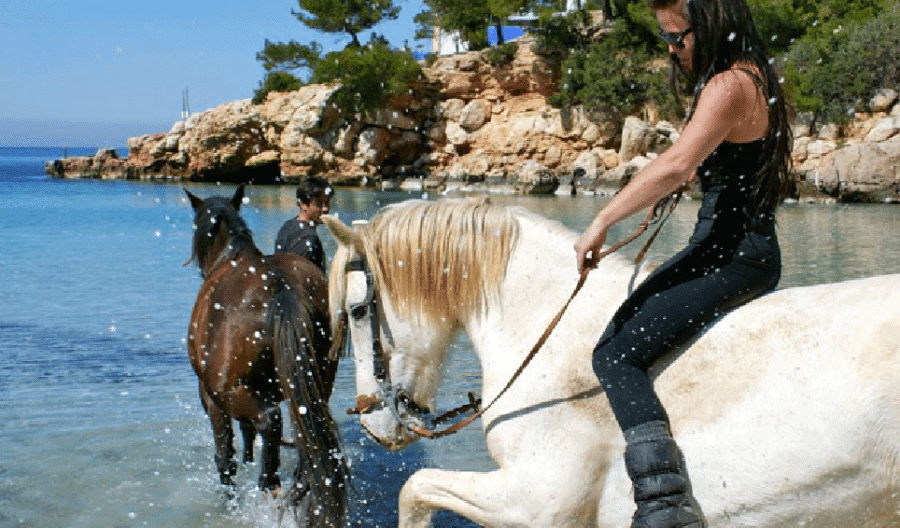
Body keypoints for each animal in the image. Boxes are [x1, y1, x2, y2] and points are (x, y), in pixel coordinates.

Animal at [184, 184, 348, 527]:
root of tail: (280, 288)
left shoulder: (210, 398)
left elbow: (225, 456)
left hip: (227, 391)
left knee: (269, 422)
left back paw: (269, 484)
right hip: (313, 387)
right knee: (306, 445)